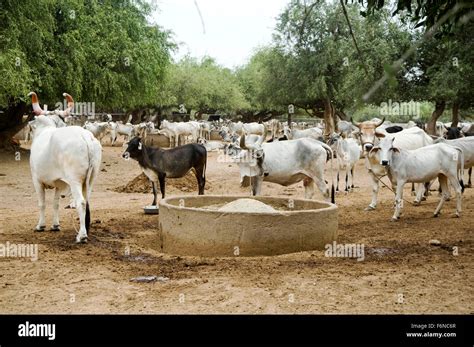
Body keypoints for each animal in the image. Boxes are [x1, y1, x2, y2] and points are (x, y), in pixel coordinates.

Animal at [27, 93, 102, 245]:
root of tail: (85, 136)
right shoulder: (59, 184)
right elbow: (55, 203)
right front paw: (55, 225)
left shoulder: (36, 180)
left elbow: (42, 203)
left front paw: (40, 226)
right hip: (91, 179)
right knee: (87, 202)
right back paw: (84, 231)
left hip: (74, 180)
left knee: (81, 202)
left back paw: (82, 236)